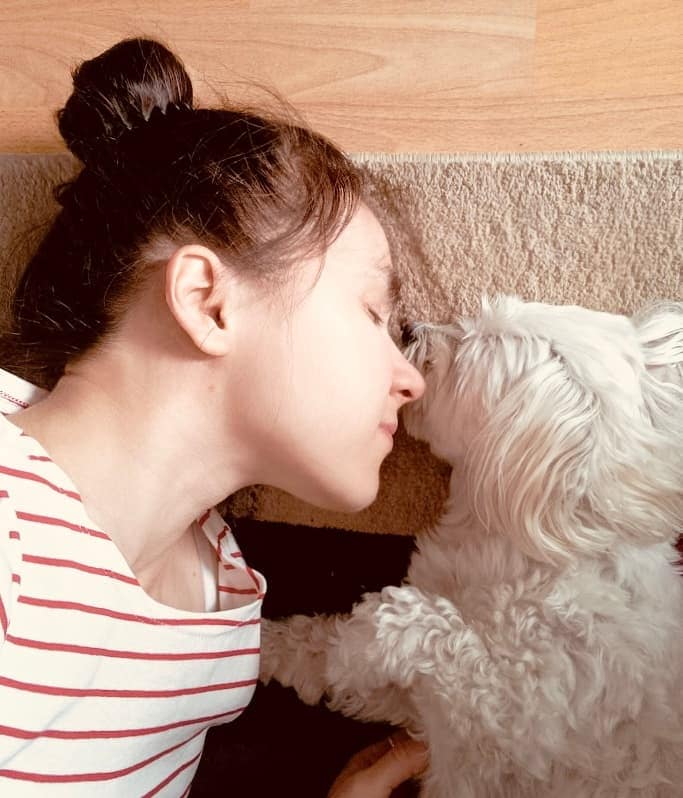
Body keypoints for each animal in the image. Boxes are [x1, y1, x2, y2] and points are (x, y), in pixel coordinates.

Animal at [260, 296, 680, 796]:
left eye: (467, 352)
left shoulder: (503, 717)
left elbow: (433, 630)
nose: (409, 327)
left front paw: (360, 643)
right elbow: (313, 643)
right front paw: (264, 646)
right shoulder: (416, 710)